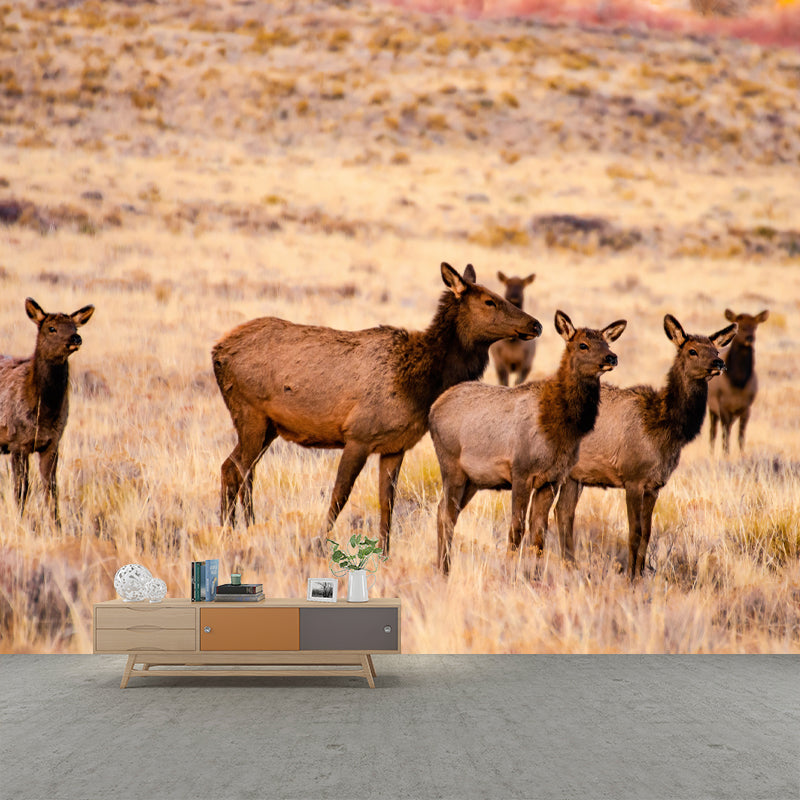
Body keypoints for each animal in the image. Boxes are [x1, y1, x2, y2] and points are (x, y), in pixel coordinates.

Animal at [0, 298, 95, 527]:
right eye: (51, 328)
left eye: (75, 327)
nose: (76, 338)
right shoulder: (17, 442)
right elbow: (21, 489)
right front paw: (20, 522)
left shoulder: (52, 443)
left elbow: (51, 488)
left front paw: (57, 525)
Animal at [211, 262, 542, 555]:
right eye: (490, 300)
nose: (535, 324)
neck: (422, 385)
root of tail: (216, 351)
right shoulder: (358, 436)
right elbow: (340, 495)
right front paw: (318, 546)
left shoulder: (395, 446)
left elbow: (387, 502)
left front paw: (384, 553)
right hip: (249, 413)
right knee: (232, 468)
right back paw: (227, 532)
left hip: (269, 427)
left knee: (246, 472)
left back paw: (248, 527)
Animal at [429, 310, 626, 575]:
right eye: (583, 345)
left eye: (607, 343)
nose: (611, 357)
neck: (561, 429)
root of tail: (433, 409)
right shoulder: (520, 471)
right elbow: (517, 527)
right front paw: (510, 570)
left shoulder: (551, 479)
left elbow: (539, 531)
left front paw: (536, 574)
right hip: (450, 465)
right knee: (446, 514)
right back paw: (444, 568)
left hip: (473, 480)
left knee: (446, 511)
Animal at [550, 315, 737, 581]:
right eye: (692, 351)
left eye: (716, 349)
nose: (719, 363)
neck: (663, 430)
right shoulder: (633, 477)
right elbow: (635, 531)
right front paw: (630, 576)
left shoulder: (654, 485)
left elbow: (648, 531)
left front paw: (640, 574)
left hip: (576, 476)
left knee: (563, 512)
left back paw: (571, 565)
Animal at [708, 309, 768, 455]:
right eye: (740, 326)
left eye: (755, 326)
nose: (749, 338)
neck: (737, 382)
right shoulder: (722, 405)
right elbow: (724, 435)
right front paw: (725, 455)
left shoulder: (746, 407)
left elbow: (741, 436)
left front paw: (741, 455)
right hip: (712, 407)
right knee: (713, 433)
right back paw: (711, 453)